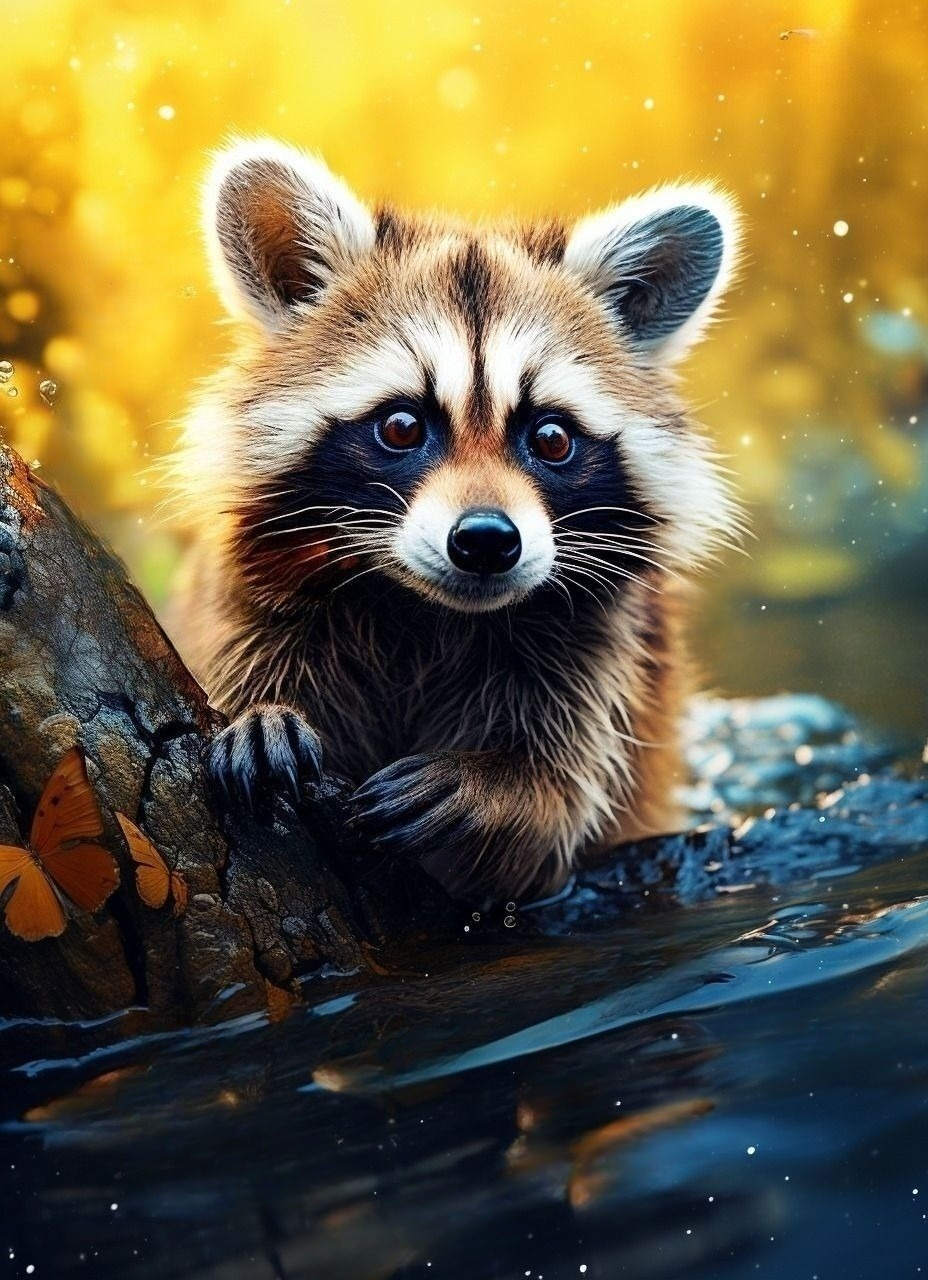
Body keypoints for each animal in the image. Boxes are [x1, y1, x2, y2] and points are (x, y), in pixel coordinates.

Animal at [168, 138, 742, 901]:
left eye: (551, 438)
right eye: (402, 426)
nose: (487, 541)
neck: (427, 614)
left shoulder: (606, 654)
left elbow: (555, 817)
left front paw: (500, 790)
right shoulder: (254, 591)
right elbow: (238, 658)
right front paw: (261, 714)